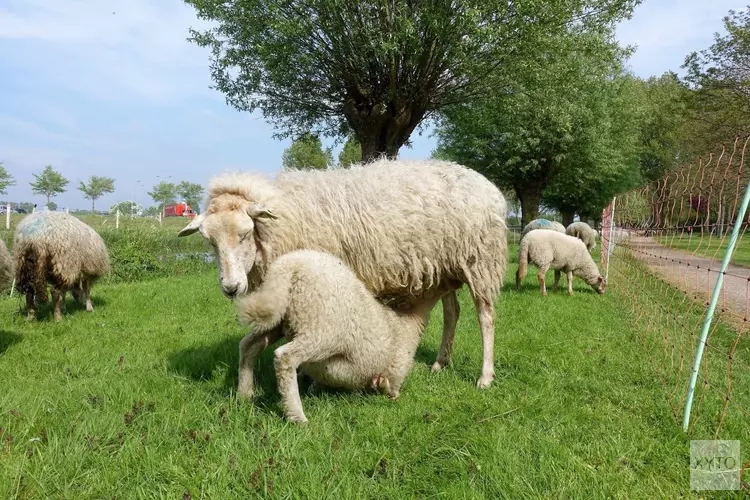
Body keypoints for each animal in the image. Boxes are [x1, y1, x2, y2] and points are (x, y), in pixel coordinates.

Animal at [181, 158, 512, 388]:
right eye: (209, 242)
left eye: (246, 233)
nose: (230, 287)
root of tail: (490, 187)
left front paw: (313, 378)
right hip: (445, 267)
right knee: (452, 312)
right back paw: (440, 363)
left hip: (481, 259)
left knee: (486, 316)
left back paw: (485, 376)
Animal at [236, 250, 458, 422]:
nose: (456, 282)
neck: (407, 322)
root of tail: (291, 265)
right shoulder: (397, 370)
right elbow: (391, 391)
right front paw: (386, 390)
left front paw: (315, 387)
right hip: (322, 330)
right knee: (285, 358)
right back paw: (296, 416)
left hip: (278, 319)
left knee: (248, 346)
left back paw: (244, 393)